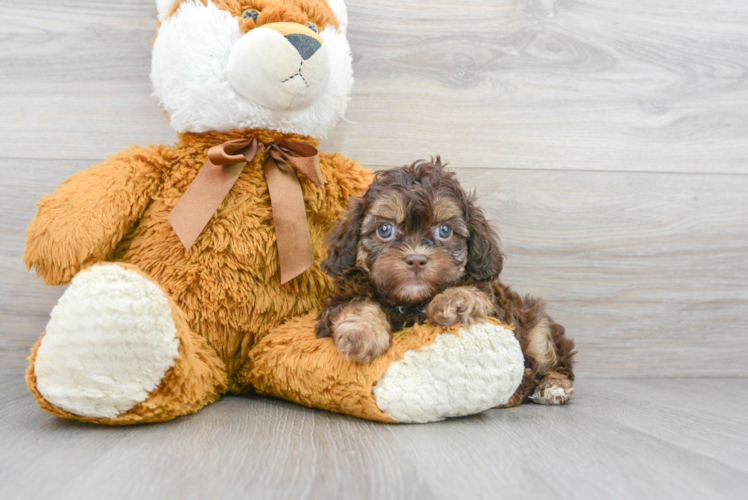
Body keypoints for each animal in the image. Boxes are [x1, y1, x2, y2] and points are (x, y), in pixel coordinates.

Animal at [316, 158, 580, 404]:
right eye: (384, 229)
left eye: (444, 230)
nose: (416, 260)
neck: (410, 301)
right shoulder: (337, 299)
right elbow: (356, 303)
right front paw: (362, 333)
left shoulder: (496, 307)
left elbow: (473, 291)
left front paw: (454, 300)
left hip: (538, 329)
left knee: (556, 361)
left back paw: (553, 386)